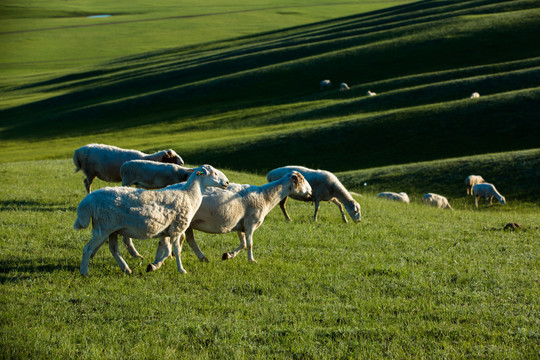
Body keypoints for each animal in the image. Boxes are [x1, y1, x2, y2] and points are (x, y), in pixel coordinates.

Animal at [73, 165, 228, 278]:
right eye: (214, 173)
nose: (226, 182)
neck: (189, 195)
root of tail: (88, 201)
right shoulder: (176, 229)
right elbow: (176, 250)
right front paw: (181, 270)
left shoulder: (165, 231)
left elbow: (167, 251)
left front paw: (154, 265)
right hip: (104, 227)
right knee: (87, 249)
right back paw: (84, 272)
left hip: (112, 230)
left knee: (114, 249)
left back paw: (126, 269)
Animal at [144, 170, 312, 272]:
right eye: (302, 180)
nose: (310, 192)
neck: (265, 196)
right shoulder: (250, 223)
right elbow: (250, 244)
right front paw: (252, 260)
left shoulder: (240, 225)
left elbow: (243, 244)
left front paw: (228, 255)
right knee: (171, 240)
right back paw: (158, 262)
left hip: (187, 224)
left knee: (186, 240)